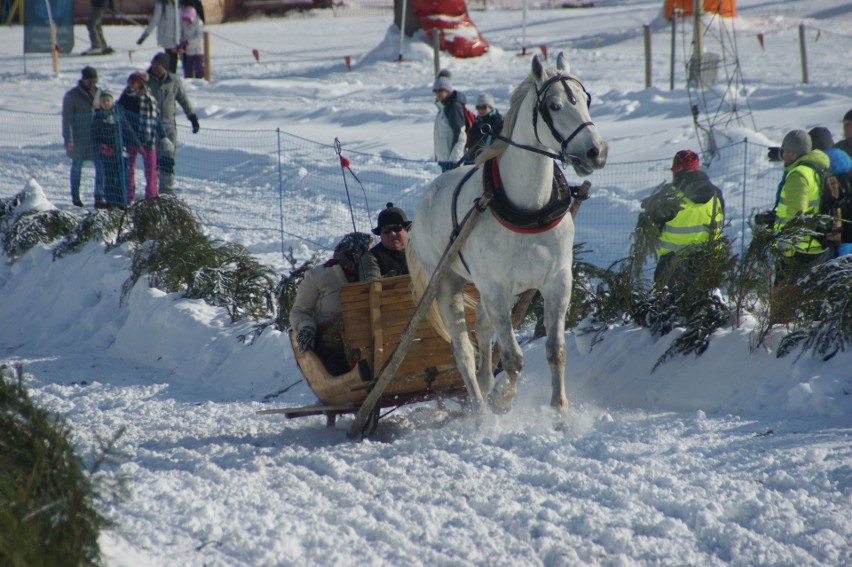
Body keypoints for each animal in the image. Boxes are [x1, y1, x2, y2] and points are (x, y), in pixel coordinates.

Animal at [406, 54, 604, 422]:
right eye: (554, 105)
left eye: (586, 101)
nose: (596, 151)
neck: (529, 208)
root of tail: (426, 197)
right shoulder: (496, 287)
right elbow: (513, 358)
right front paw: (504, 398)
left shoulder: (556, 281)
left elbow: (555, 350)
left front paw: (560, 410)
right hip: (448, 282)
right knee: (463, 349)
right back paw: (482, 410)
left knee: (483, 332)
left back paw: (486, 385)